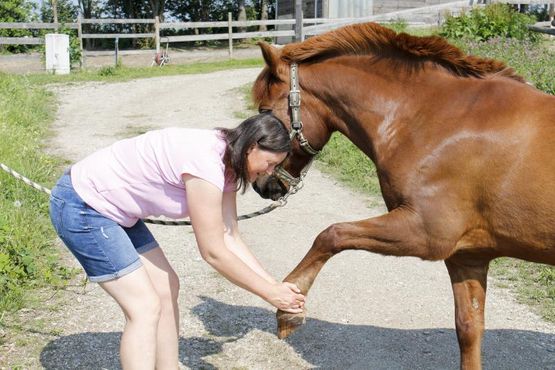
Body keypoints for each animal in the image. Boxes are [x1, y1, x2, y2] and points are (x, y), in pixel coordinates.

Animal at [253, 21, 555, 368]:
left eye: (265, 111)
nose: (261, 185)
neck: (439, 119)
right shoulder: (468, 255)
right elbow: (468, 329)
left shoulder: (427, 234)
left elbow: (331, 235)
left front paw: (288, 308)